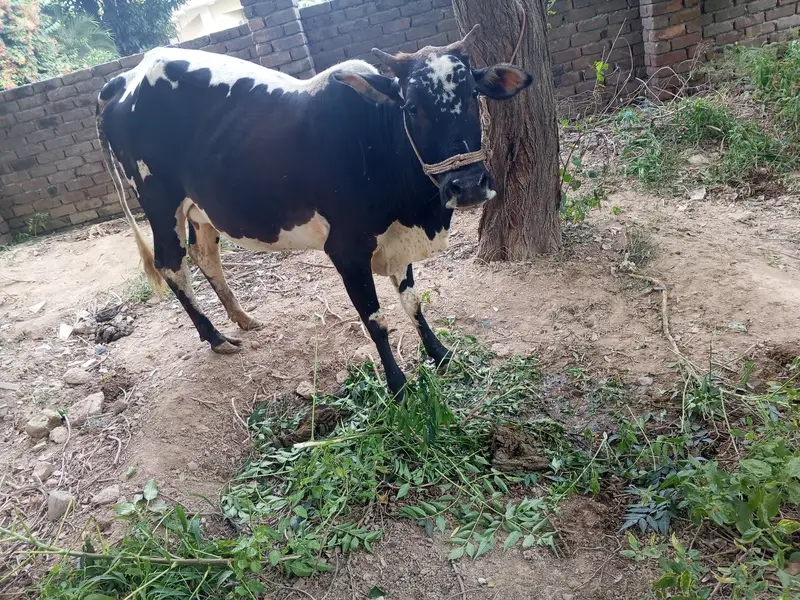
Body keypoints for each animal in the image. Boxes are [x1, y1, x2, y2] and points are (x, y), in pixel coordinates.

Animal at [96, 25, 533, 400]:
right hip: (159, 202)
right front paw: (397, 385)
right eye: (411, 106)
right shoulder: (346, 250)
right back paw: (216, 338)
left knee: (205, 257)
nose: (469, 185)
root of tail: (129, 76)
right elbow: (375, 320)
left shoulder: (396, 241)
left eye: (473, 94)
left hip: (201, 210)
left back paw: (243, 319)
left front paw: (440, 354)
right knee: (171, 264)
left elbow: (412, 302)